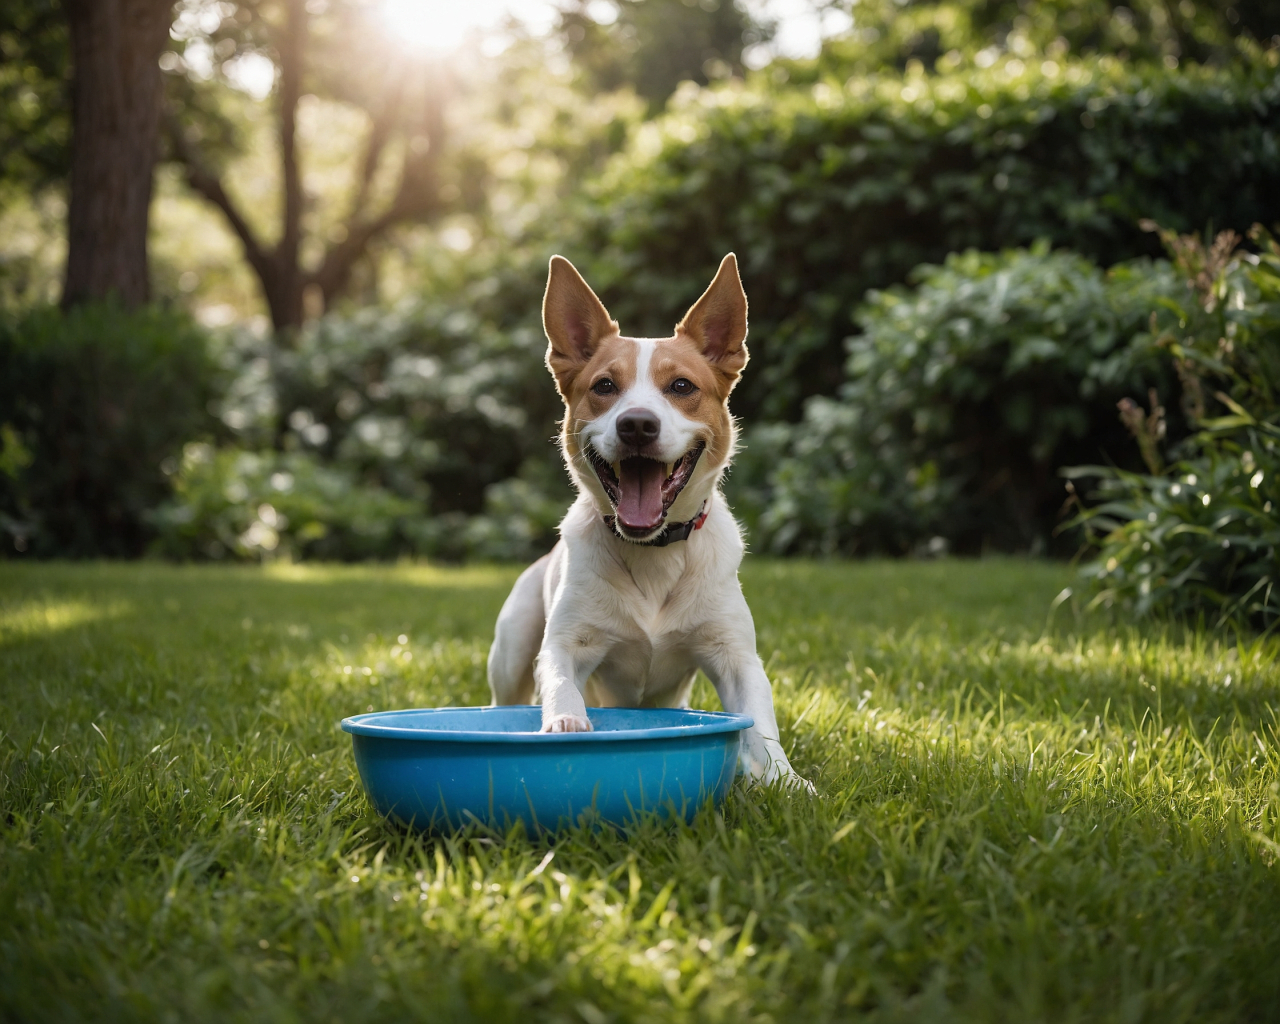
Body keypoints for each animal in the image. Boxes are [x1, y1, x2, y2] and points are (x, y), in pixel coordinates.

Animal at [483, 249, 803, 783]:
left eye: (681, 386)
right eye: (604, 386)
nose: (636, 424)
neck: (651, 549)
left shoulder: (734, 654)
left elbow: (761, 726)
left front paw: (789, 782)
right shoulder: (567, 643)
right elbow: (561, 680)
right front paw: (567, 723)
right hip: (511, 647)